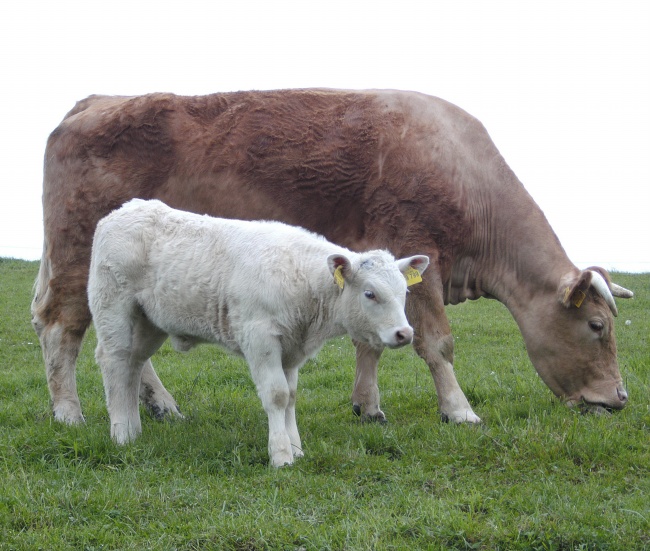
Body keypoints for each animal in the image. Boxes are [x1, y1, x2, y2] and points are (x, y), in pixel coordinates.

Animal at [30, 89, 628, 426]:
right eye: (597, 326)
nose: (619, 398)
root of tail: (94, 103)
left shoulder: (378, 276)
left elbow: (374, 343)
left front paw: (368, 405)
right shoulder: (423, 258)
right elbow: (437, 344)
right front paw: (459, 410)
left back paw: (161, 406)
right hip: (78, 260)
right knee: (62, 328)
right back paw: (68, 413)